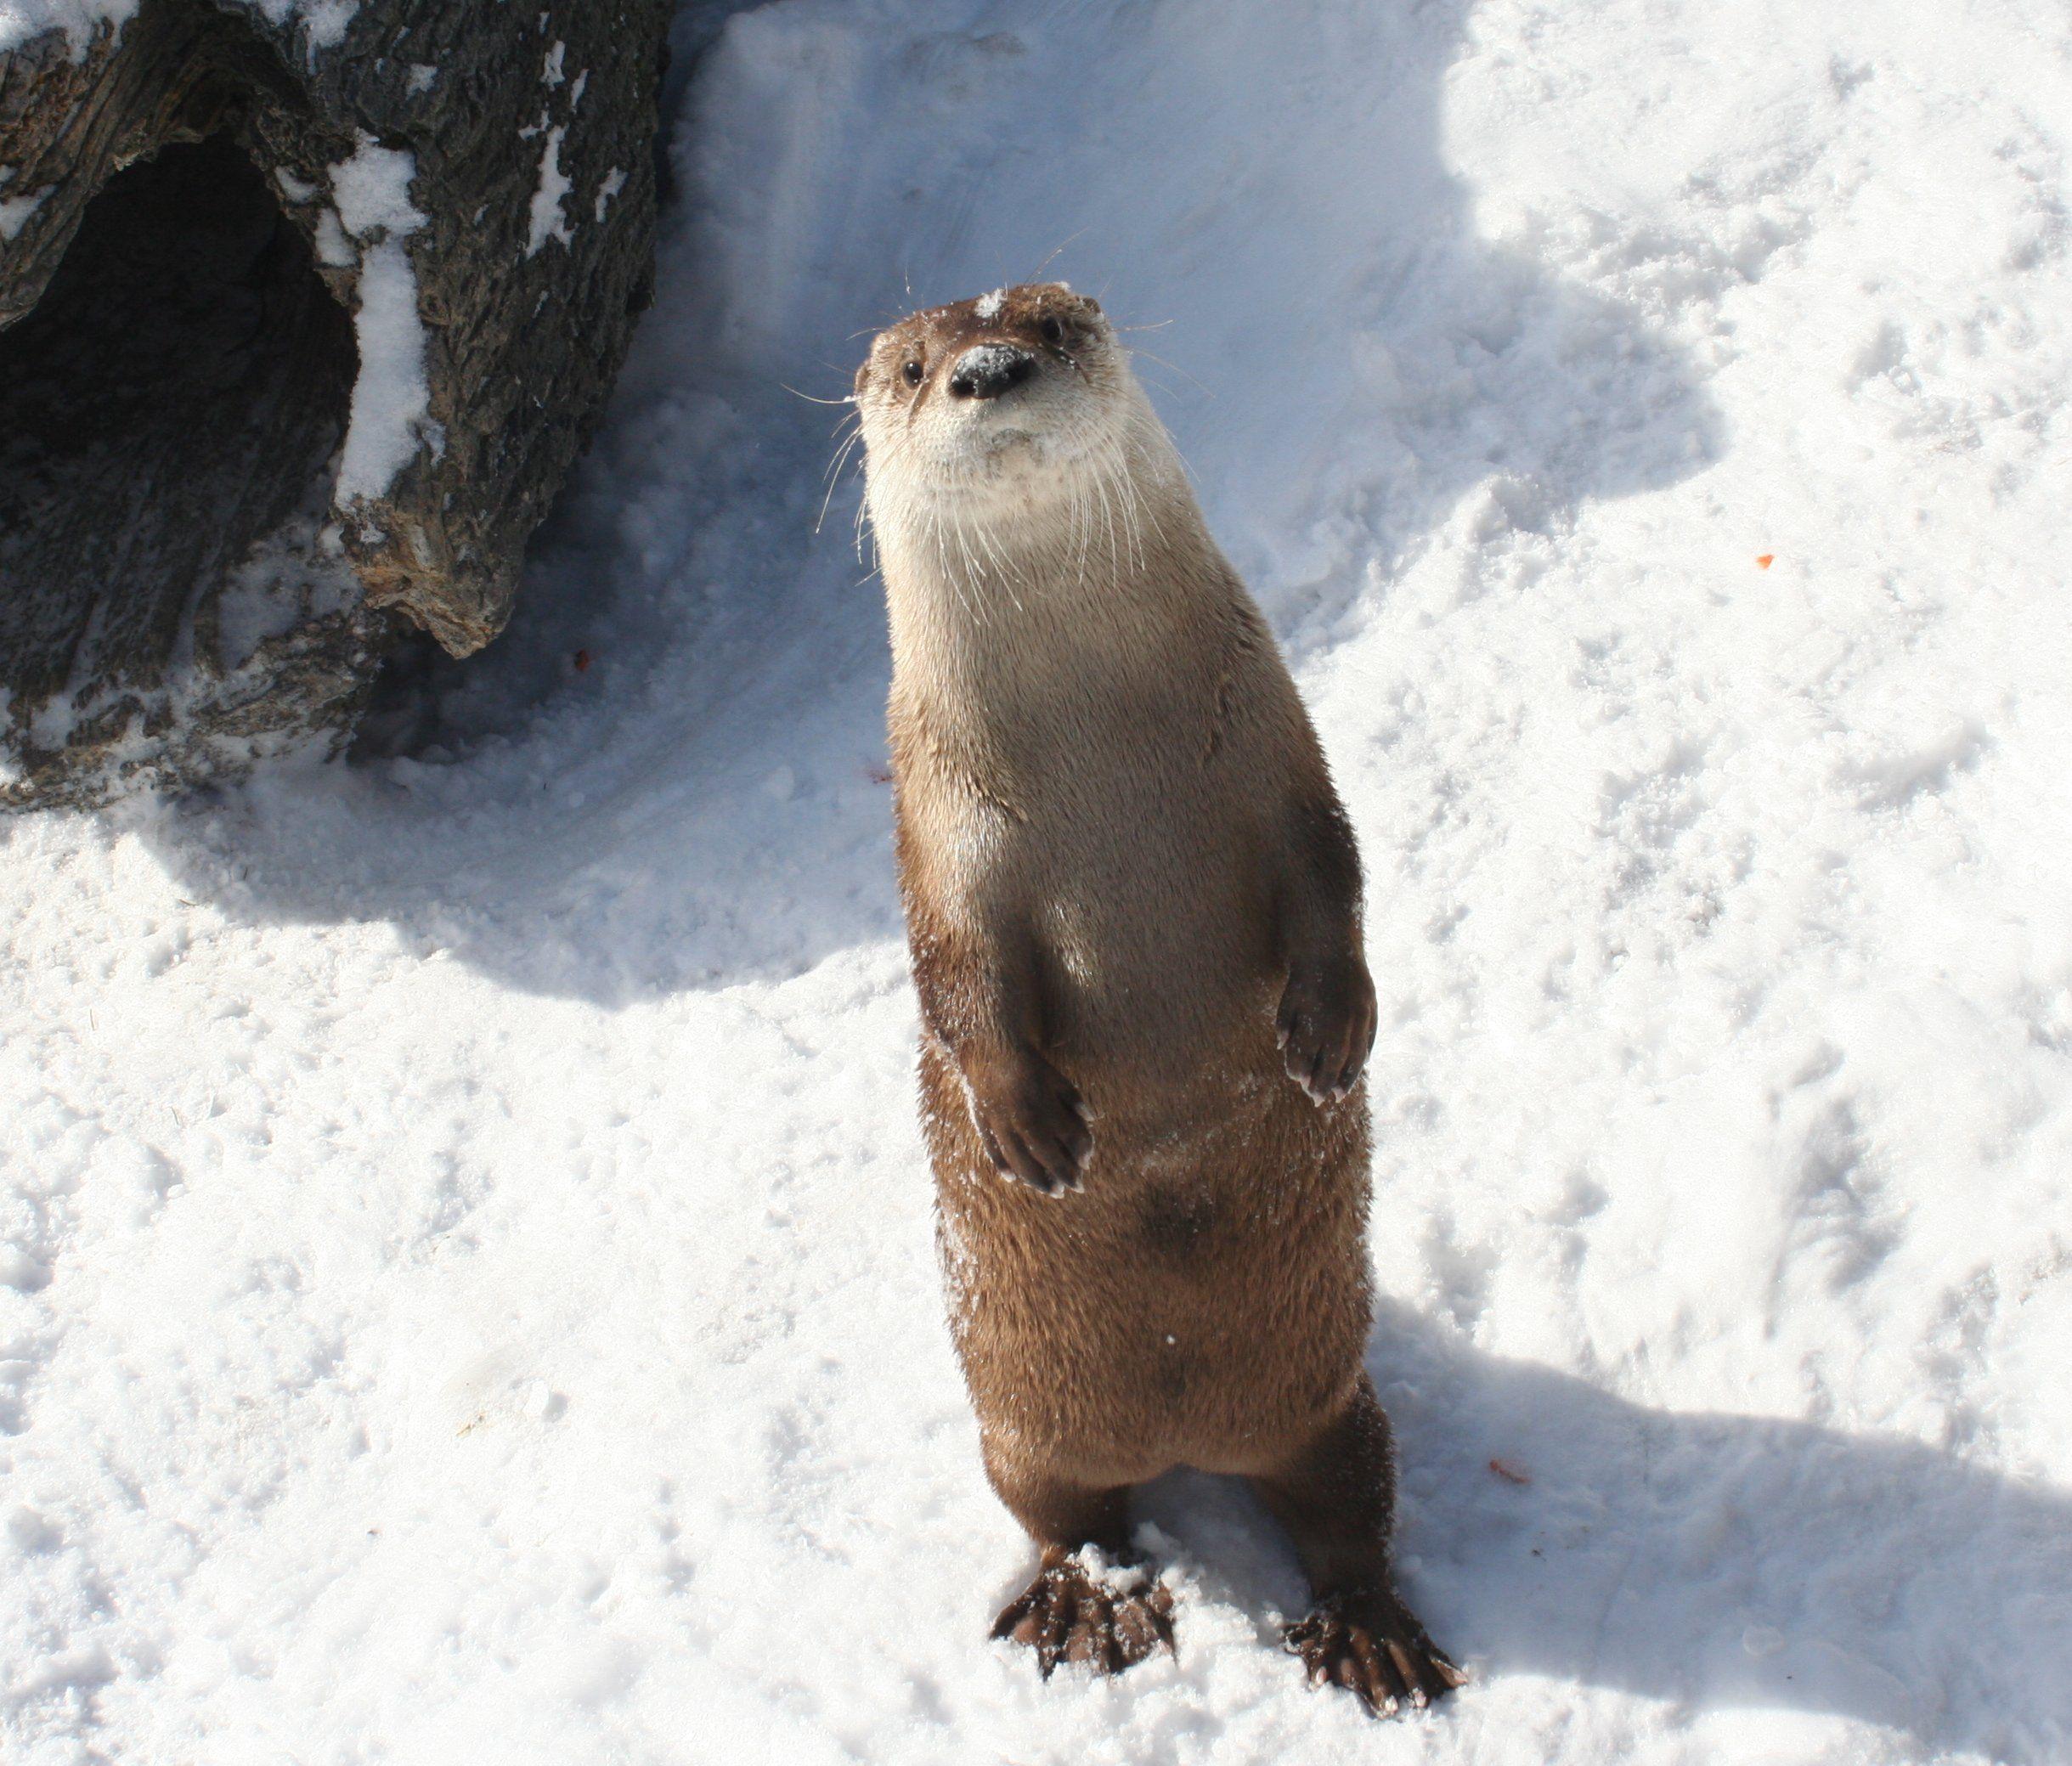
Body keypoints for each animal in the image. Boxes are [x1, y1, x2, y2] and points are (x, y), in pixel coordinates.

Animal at [854, 282, 1464, 1716]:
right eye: (909, 367)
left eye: (1048, 324)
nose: (986, 368)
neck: (1097, 750)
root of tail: (1189, 1433)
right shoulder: (943, 832)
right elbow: (955, 974)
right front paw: (1028, 1127)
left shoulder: (1275, 744)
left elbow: (1333, 866)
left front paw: (1329, 1031)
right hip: (1022, 1419)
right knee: (1064, 1512)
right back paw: (1090, 1602)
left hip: (1321, 1397)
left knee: (1348, 1504)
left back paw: (1367, 1631)